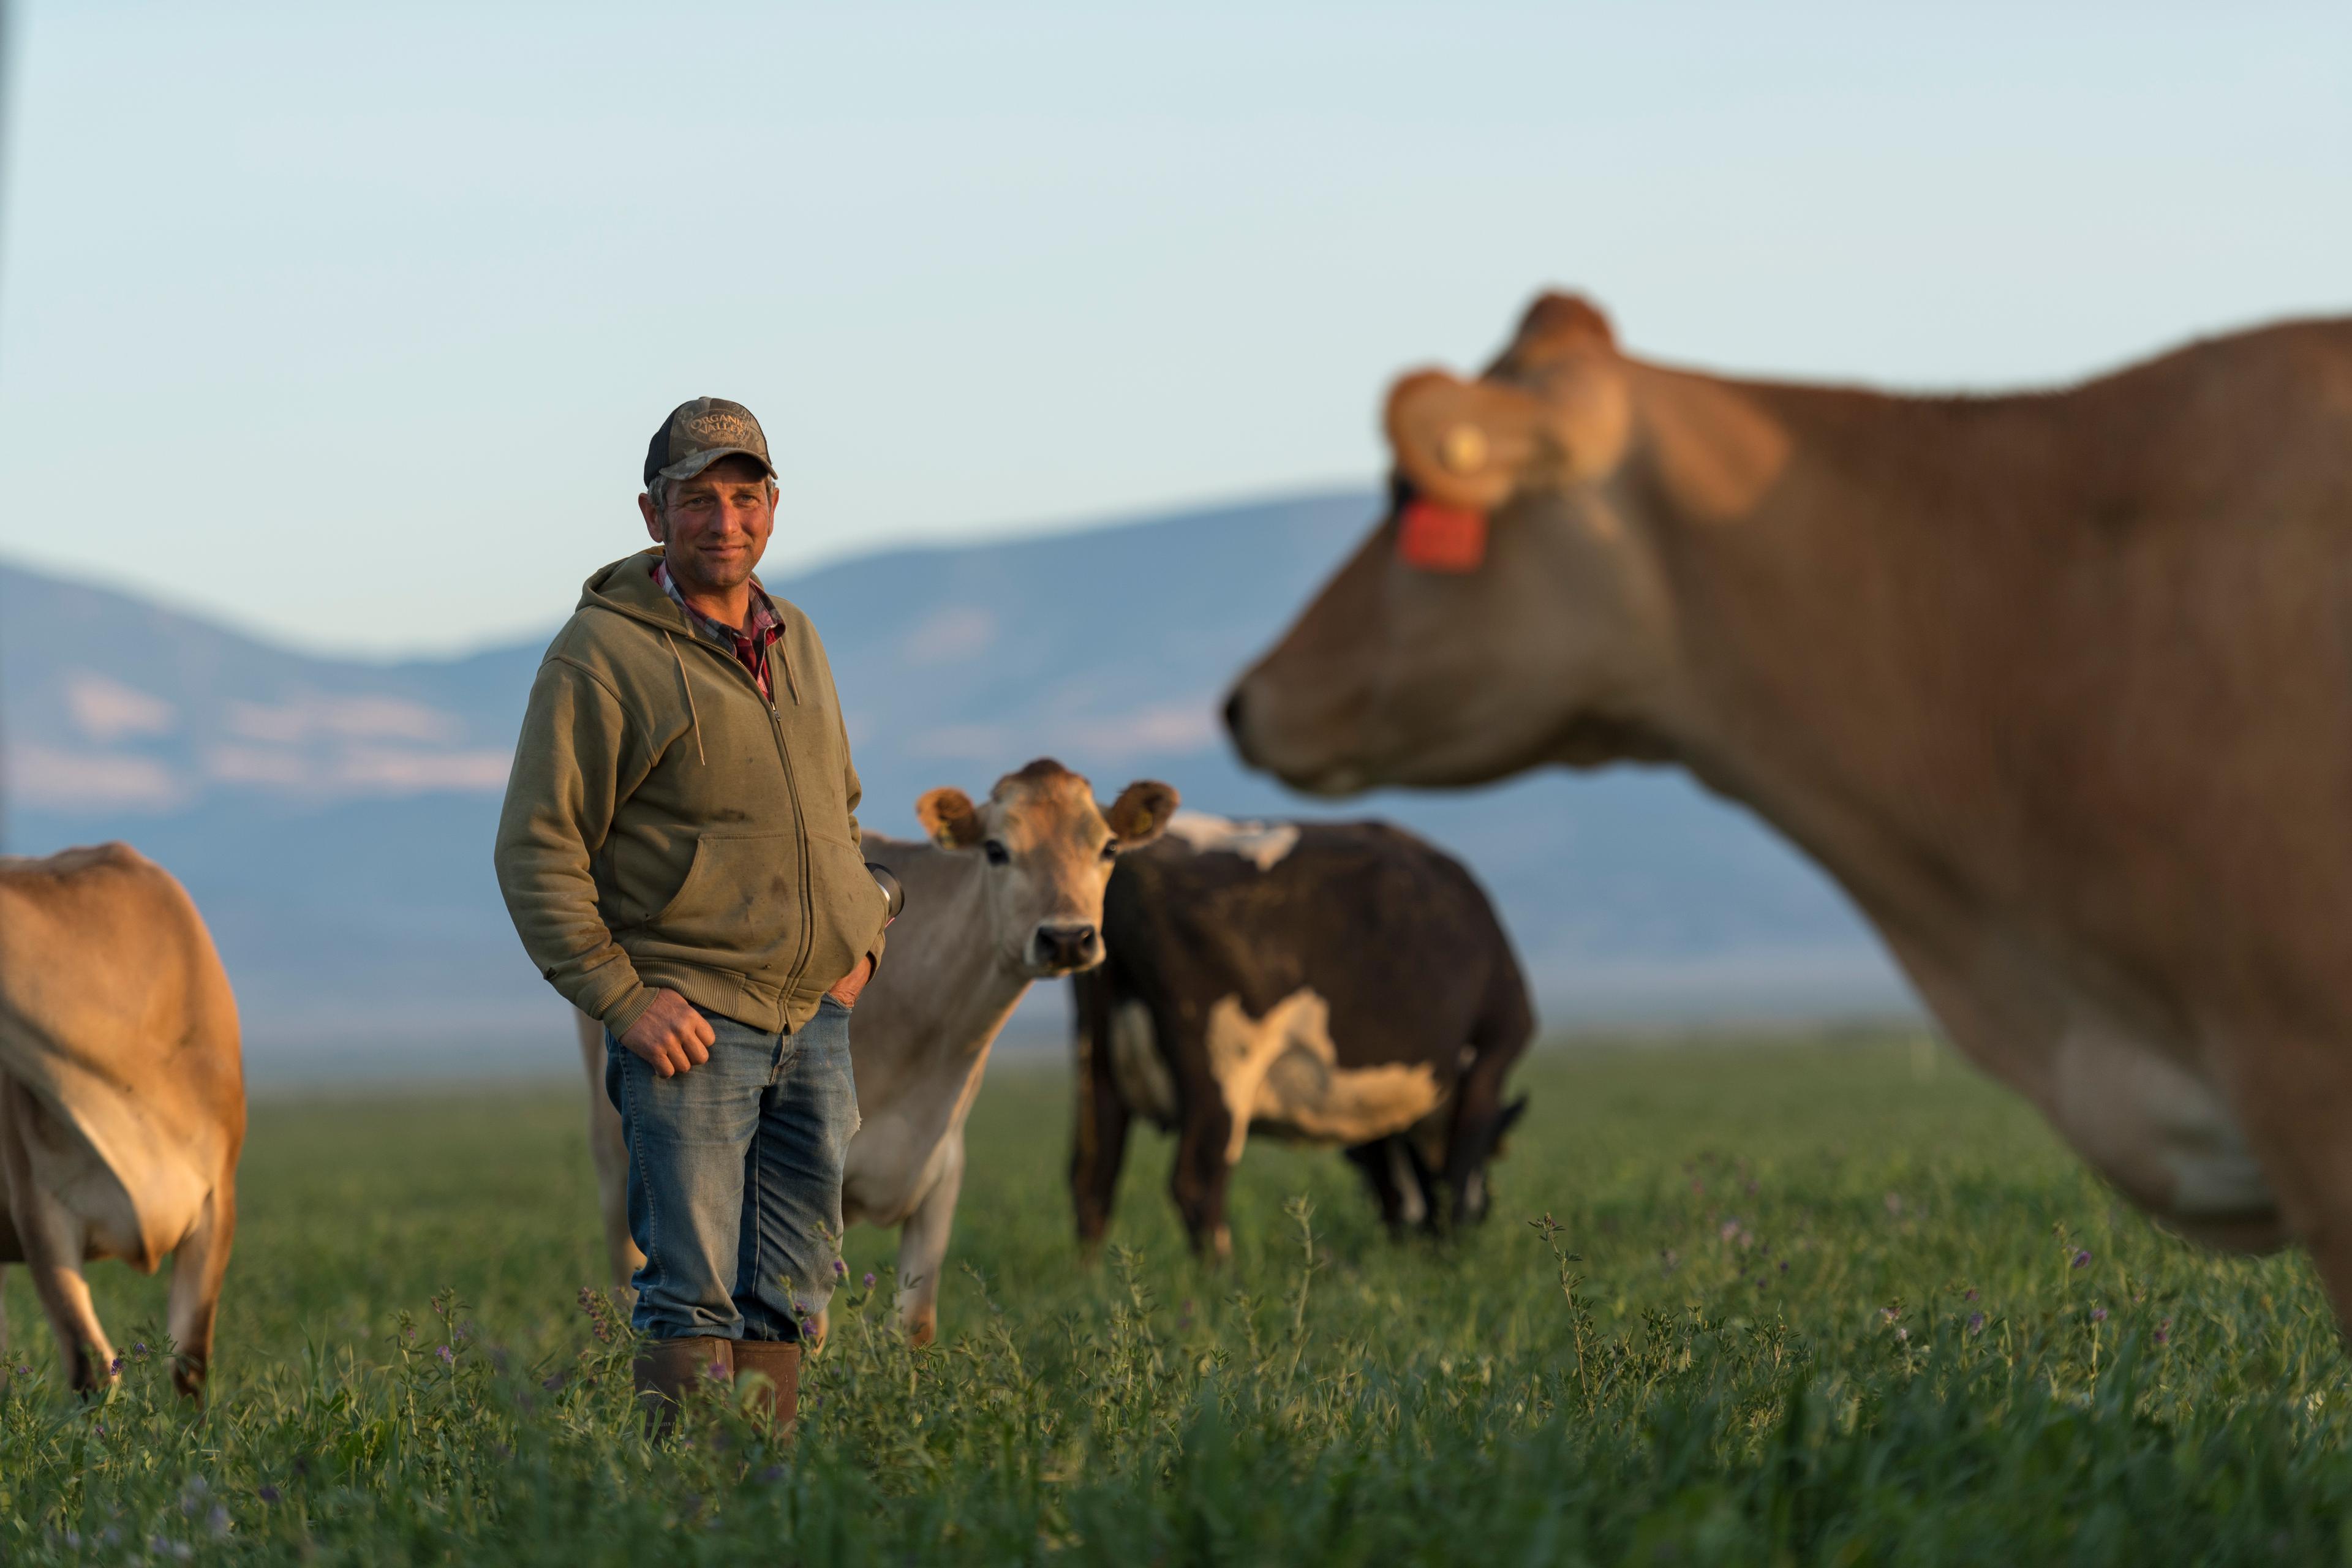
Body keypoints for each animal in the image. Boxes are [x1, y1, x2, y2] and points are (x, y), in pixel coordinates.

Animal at [577, 758, 1177, 1344]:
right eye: (997, 849)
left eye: (1109, 848)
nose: (1068, 937)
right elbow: (806, 1325)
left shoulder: (941, 1176)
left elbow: (914, 1325)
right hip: (616, 1147)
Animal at [1070, 811, 1531, 1261]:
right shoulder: (1492, 1053)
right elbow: (1458, 1171)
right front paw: (1454, 1256)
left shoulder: (1371, 1107)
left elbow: (1393, 1184)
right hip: (1220, 1069)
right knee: (1198, 1181)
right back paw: (1224, 1279)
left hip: (1096, 1063)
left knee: (1092, 1178)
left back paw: (1089, 1279)